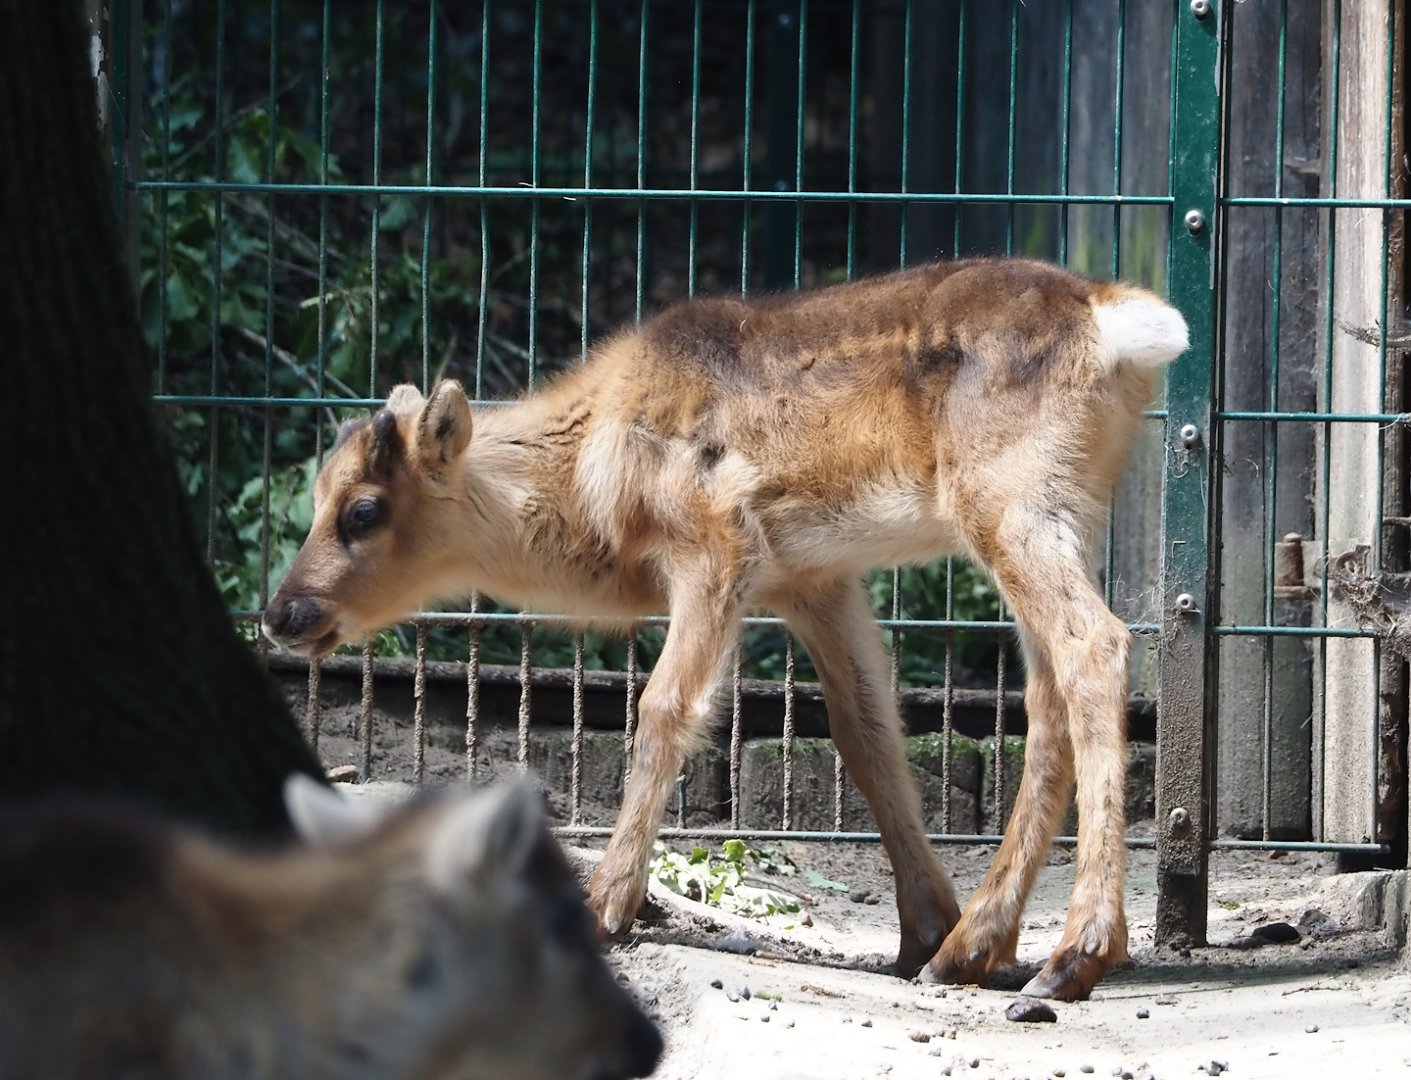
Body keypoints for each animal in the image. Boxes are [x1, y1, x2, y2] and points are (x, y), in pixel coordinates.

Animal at [263, 257, 1188, 1002]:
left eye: (363, 510)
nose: (280, 615)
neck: (592, 475)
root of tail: (1117, 323)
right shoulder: (812, 580)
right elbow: (866, 731)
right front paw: (922, 928)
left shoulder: (714, 546)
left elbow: (665, 710)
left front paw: (605, 906)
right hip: (1056, 512)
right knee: (1044, 697)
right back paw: (971, 947)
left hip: (1009, 500)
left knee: (1097, 647)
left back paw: (1073, 956)